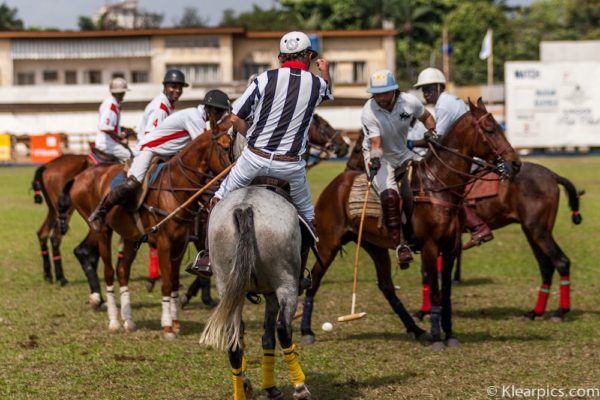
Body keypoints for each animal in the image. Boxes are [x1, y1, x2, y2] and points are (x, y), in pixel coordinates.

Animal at [59, 122, 232, 338]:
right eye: (225, 146)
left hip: (131, 237)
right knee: (108, 271)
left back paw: (128, 320)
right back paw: (113, 320)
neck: (176, 189)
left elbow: (174, 280)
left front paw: (175, 321)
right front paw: (167, 326)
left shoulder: (180, 244)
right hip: (102, 231)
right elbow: (166, 283)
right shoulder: (165, 243)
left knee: (122, 271)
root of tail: (79, 177)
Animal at [202, 186, 312, 400]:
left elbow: (262, 338)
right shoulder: (273, 294)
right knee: (283, 329)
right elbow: (269, 337)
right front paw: (272, 388)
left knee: (234, 340)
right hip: (286, 283)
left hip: (226, 283)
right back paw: (300, 386)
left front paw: (263, 386)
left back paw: (240, 392)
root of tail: (245, 207)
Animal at [300, 98, 520, 348]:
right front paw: (437, 338)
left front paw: (450, 335)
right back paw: (306, 331)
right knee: (313, 280)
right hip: (329, 242)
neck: (438, 185)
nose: (516, 163)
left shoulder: (451, 248)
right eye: (490, 130)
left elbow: (446, 294)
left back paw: (415, 329)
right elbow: (435, 292)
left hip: (374, 246)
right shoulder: (430, 247)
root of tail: (335, 184)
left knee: (386, 286)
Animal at [344, 125, 584, 322]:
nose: (347, 169)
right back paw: (536, 312)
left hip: (537, 229)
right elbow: (431, 273)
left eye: (357, 150)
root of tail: (552, 175)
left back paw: (560, 312)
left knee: (561, 261)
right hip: (531, 229)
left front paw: (425, 311)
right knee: (546, 266)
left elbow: (428, 274)